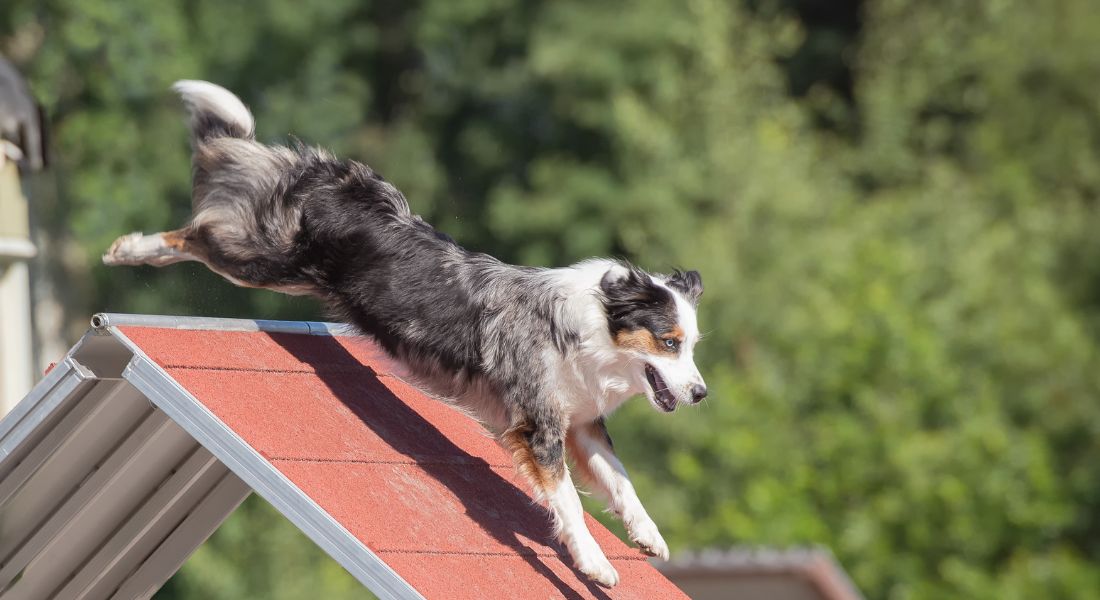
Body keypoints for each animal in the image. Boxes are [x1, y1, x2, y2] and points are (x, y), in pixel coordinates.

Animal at [101, 79, 704, 585]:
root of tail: (334, 177)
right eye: (669, 342)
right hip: (263, 260)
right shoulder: (538, 426)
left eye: (693, 346)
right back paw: (129, 248)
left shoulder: (581, 423)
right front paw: (596, 564)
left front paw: (648, 537)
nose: (700, 393)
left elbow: (622, 481)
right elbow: (571, 504)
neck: (591, 329)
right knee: (196, 232)